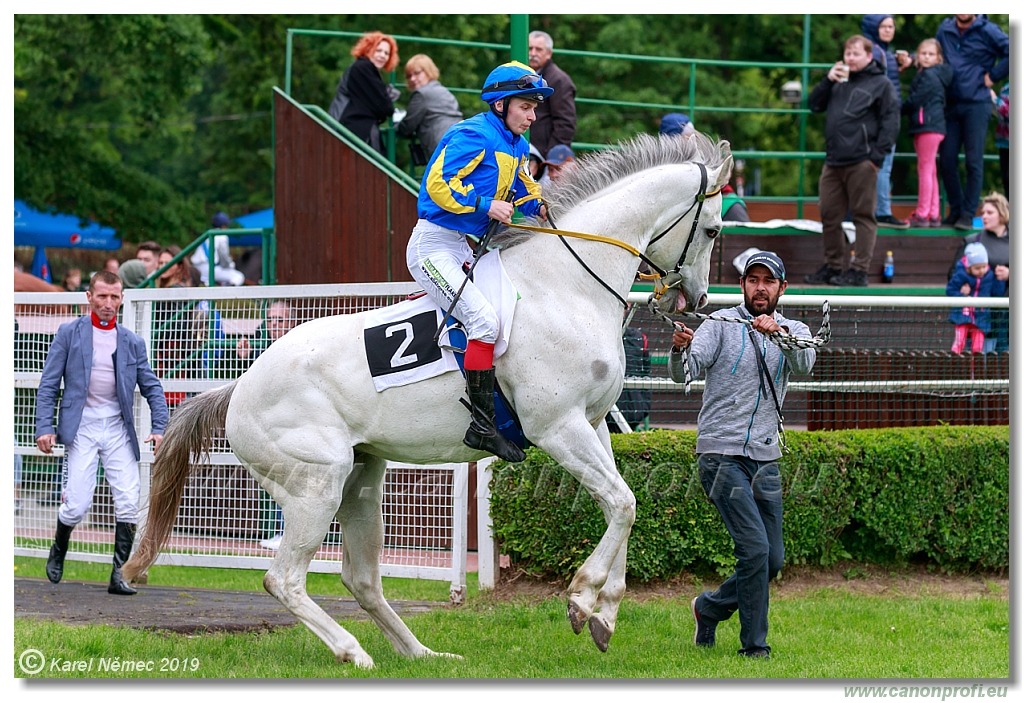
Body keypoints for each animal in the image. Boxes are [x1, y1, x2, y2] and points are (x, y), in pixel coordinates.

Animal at [123, 133, 733, 671]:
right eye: (712, 228)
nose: (696, 299)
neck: (566, 284)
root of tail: (239, 387)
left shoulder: (593, 425)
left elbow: (621, 506)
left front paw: (603, 613)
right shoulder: (558, 428)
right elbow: (623, 504)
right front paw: (583, 597)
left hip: (361, 482)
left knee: (362, 579)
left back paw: (420, 653)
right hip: (315, 486)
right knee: (284, 579)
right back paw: (353, 651)